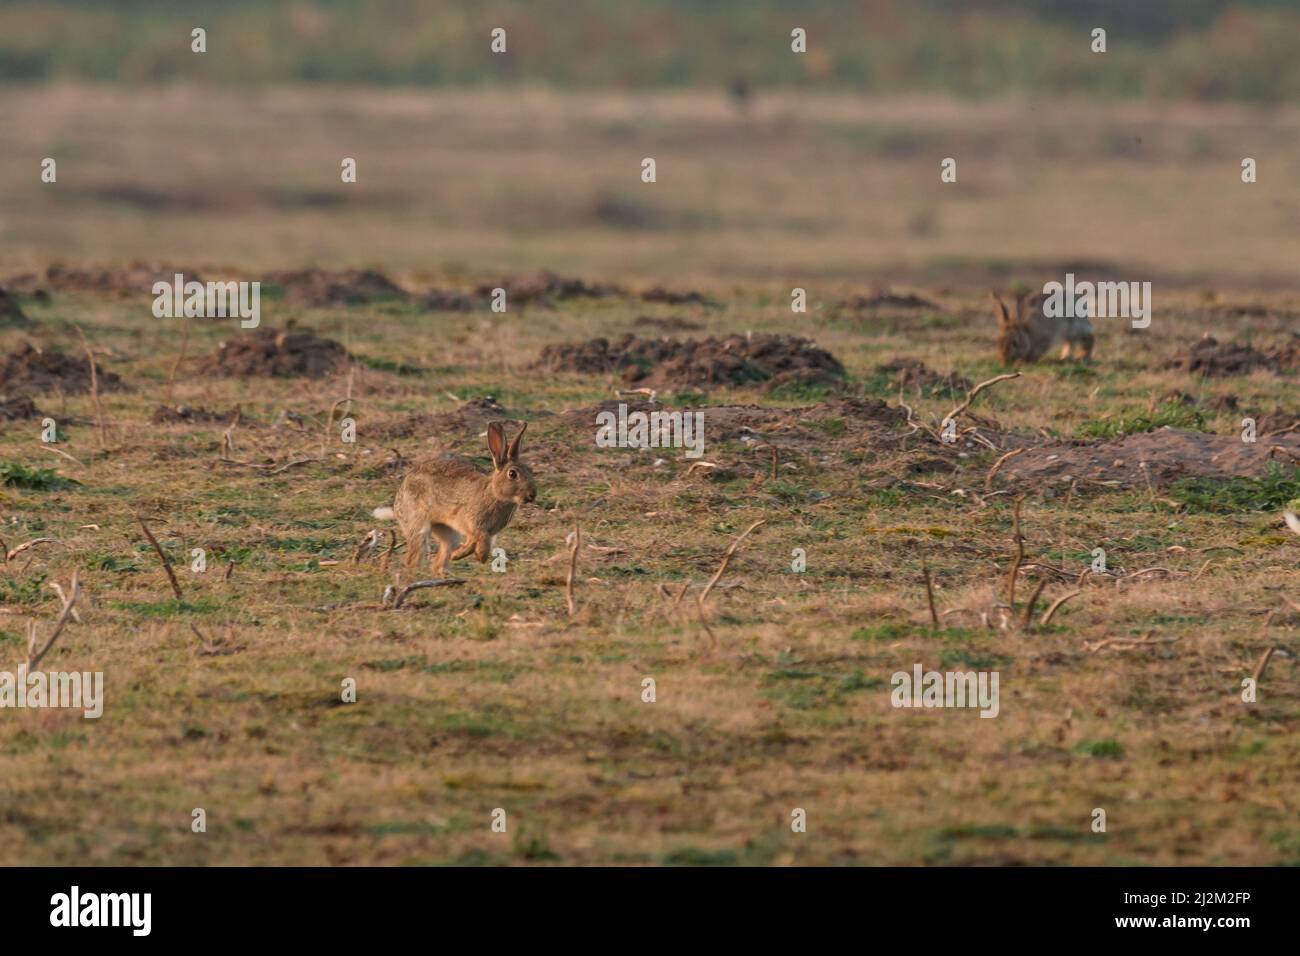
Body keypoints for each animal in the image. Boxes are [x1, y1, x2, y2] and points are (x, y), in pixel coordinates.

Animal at [372, 421, 536, 574]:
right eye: (512, 474)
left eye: (530, 470)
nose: (532, 495)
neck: (494, 494)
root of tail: (397, 505)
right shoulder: (470, 522)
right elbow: (479, 539)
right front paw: (477, 555)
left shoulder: (483, 531)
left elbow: (478, 541)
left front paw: (464, 555)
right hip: (418, 525)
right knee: (414, 555)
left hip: (447, 532)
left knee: (441, 556)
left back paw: (445, 570)